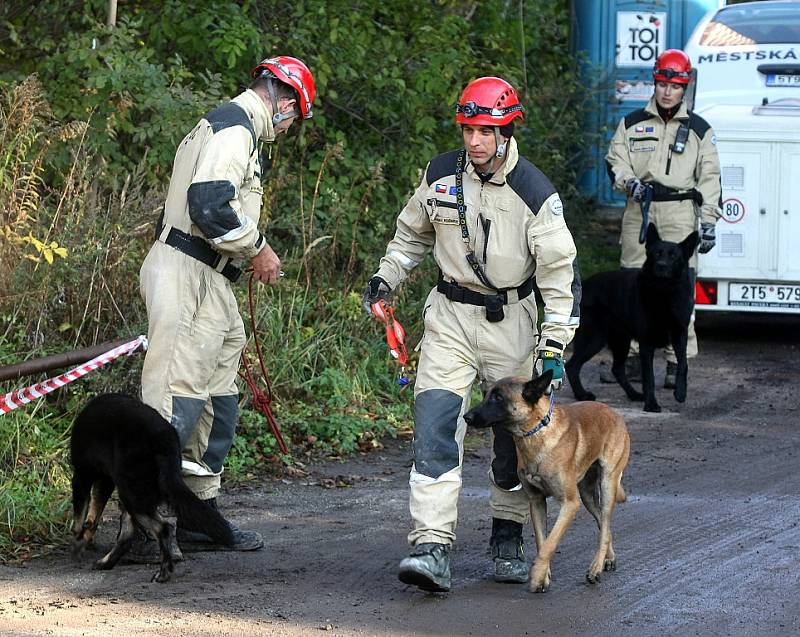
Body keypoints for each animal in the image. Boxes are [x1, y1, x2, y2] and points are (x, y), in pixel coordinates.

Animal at [70, 392, 233, 580]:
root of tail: (165, 439)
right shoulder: (105, 481)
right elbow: (93, 517)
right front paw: (86, 537)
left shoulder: (81, 475)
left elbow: (79, 517)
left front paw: (77, 542)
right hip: (133, 492)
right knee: (127, 536)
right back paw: (106, 563)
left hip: (131, 493)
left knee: (163, 528)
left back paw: (164, 571)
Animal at [462, 368, 632, 592]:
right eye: (486, 394)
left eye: (498, 398)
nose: (466, 417)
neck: (536, 432)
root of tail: (614, 413)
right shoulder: (537, 502)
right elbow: (542, 541)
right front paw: (544, 575)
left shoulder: (570, 504)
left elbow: (550, 544)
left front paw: (536, 576)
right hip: (587, 495)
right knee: (603, 524)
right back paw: (608, 558)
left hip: (606, 485)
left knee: (604, 527)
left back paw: (595, 568)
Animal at [564, 224, 700, 412]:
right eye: (656, 254)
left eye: (673, 256)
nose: (661, 266)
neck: (663, 292)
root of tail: (584, 284)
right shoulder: (646, 343)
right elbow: (649, 377)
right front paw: (651, 404)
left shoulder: (680, 335)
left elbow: (683, 364)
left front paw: (680, 392)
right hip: (595, 339)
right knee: (572, 366)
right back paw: (582, 395)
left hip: (621, 340)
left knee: (617, 369)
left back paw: (633, 394)